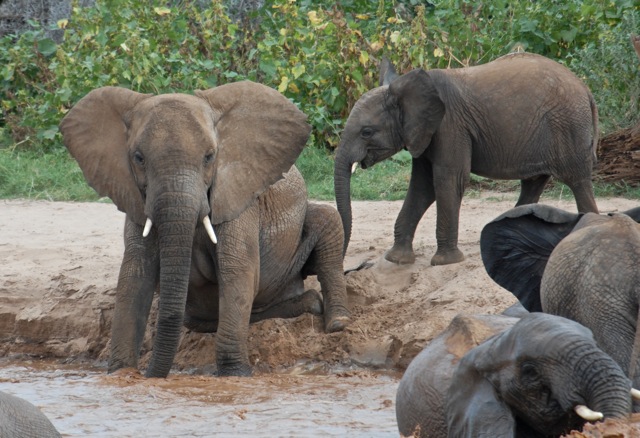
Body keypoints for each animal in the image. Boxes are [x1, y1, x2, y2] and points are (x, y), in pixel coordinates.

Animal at [59, 81, 350, 376]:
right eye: (138, 158)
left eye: (210, 157)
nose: (149, 374)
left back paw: (334, 319)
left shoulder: (239, 198)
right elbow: (135, 274)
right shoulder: (135, 198)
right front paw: (121, 373)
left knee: (329, 222)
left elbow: (236, 269)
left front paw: (235, 374)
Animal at [336, 52, 600, 266]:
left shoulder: (450, 126)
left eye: (366, 132)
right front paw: (397, 259)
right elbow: (422, 187)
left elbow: (448, 179)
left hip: (568, 126)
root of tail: (586, 89)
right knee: (534, 183)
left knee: (577, 180)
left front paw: (445, 262)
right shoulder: (424, 132)